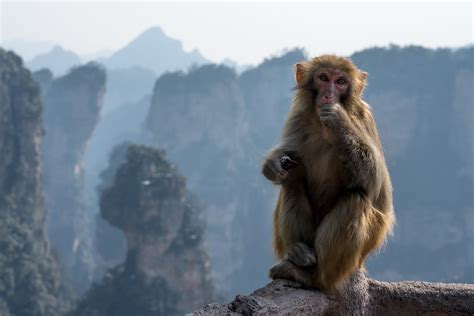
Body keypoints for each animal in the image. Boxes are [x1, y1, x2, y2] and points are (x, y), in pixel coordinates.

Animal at [262, 54, 394, 292]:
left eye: (340, 82)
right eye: (323, 78)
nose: (329, 95)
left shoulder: (363, 119)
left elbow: (376, 185)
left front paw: (338, 120)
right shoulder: (298, 119)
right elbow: (288, 164)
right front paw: (273, 164)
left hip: (353, 262)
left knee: (356, 198)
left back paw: (314, 279)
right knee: (293, 183)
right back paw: (298, 252)